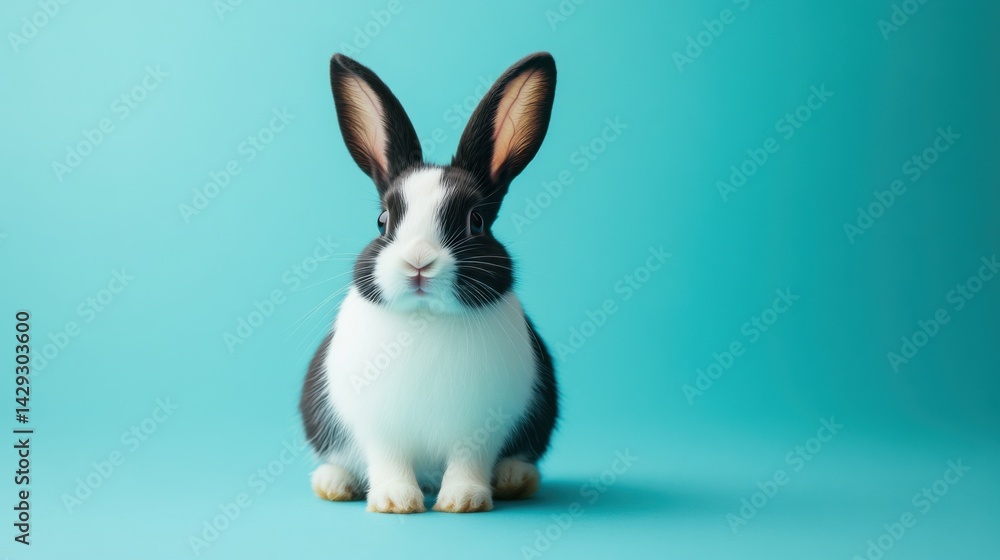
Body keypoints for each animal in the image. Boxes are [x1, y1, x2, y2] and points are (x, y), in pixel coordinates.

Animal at [299, 52, 559, 513]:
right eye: (382, 220)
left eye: (476, 222)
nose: (418, 262)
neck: (425, 318)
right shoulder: (378, 427)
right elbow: (388, 460)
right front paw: (395, 501)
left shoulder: (480, 428)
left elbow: (469, 461)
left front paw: (464, 501)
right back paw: (333, 484)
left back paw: (515, 479)